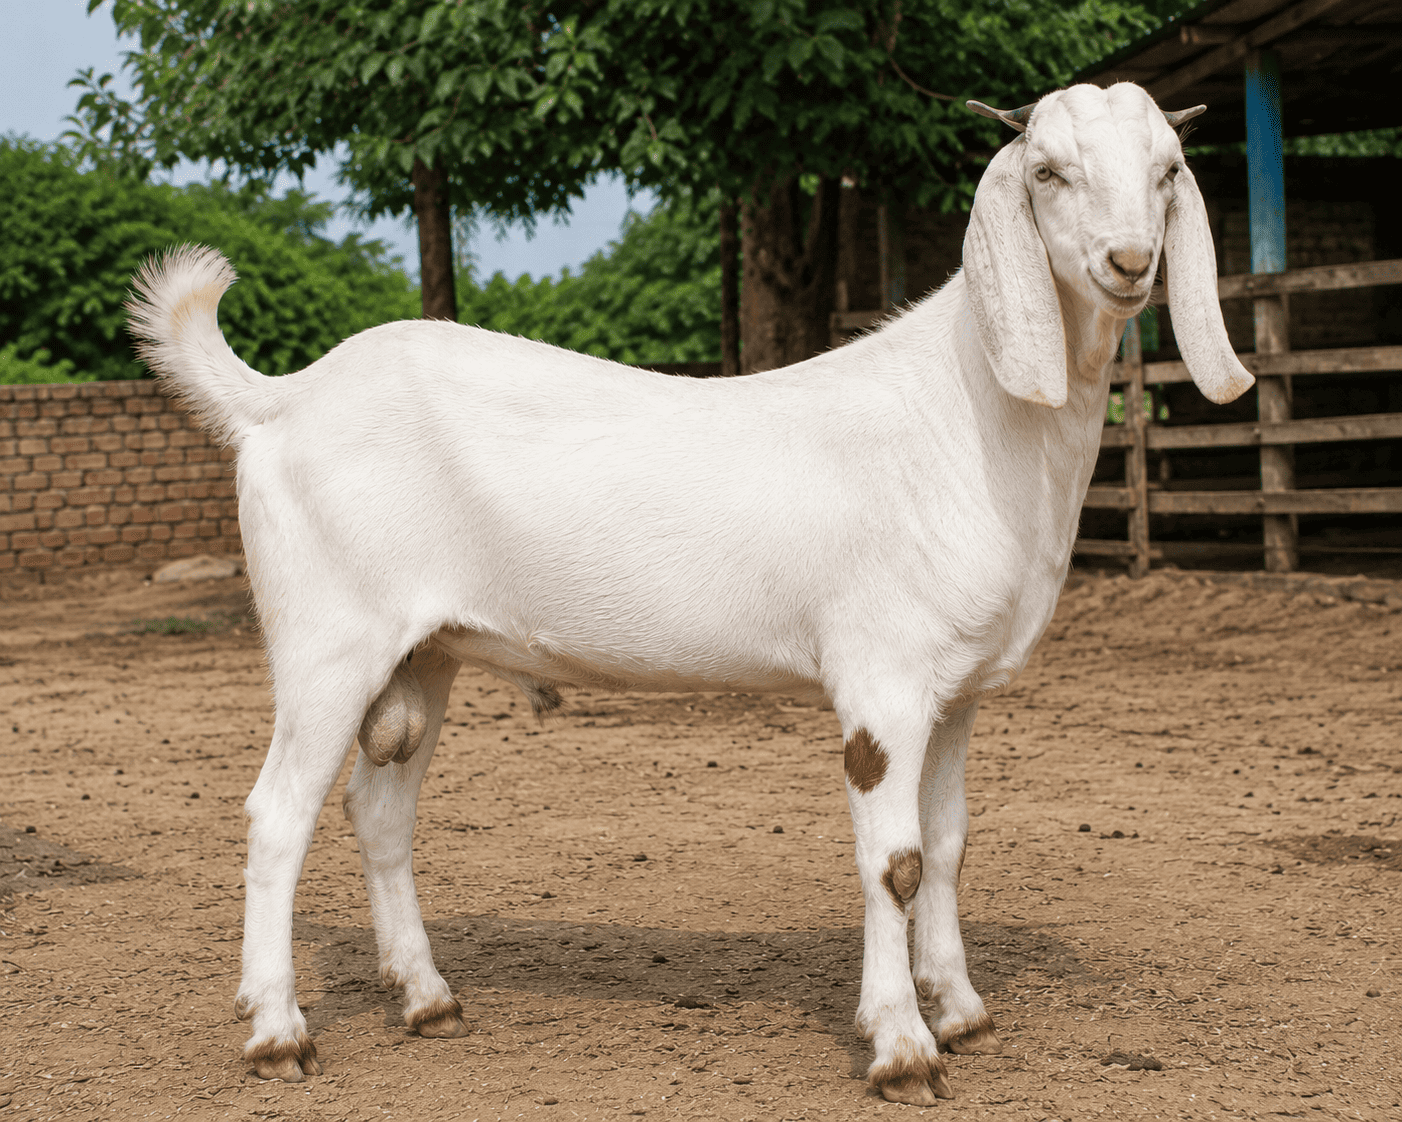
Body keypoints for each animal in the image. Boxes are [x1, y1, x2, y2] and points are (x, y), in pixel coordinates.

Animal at [127, 82, 1251, 1105]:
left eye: (1166, 171)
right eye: (1049, 172)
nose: (1129, 264)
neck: (968, 410)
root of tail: (282, 400)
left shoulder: (958, 689)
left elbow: (945, 845)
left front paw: (961, 1010)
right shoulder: (881, 680)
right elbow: (892, 860)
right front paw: (900, 1047)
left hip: (424, 651)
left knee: (380, 811)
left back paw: (426, 998)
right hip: (330, 637)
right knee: (279, 813)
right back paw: (278, 1033)